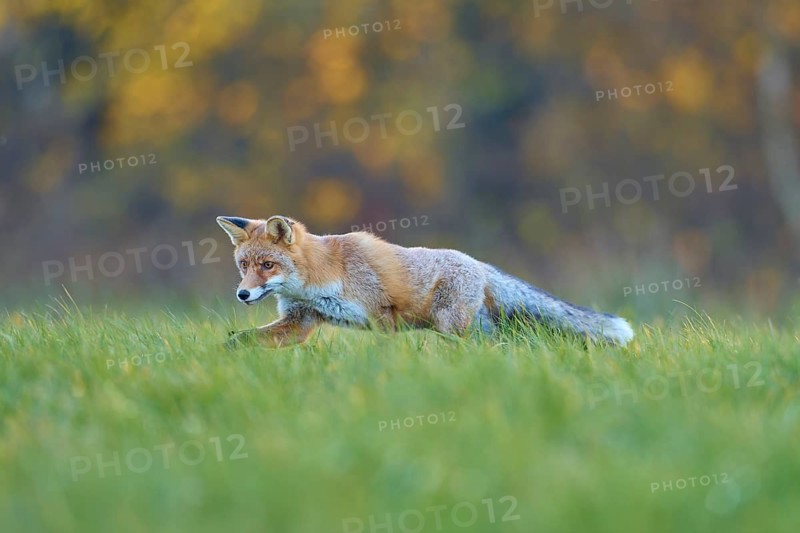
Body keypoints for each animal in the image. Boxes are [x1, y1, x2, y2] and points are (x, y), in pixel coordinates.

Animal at [216, 215, 634, 348]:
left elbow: (384, 355)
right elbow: (243, 342)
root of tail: (478, 263)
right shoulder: (299, 320)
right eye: (244, 265)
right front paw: (221, 354)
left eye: (268, 265)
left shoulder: (380, 314)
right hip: (480, 328)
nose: (242, 294)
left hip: (451, 325)